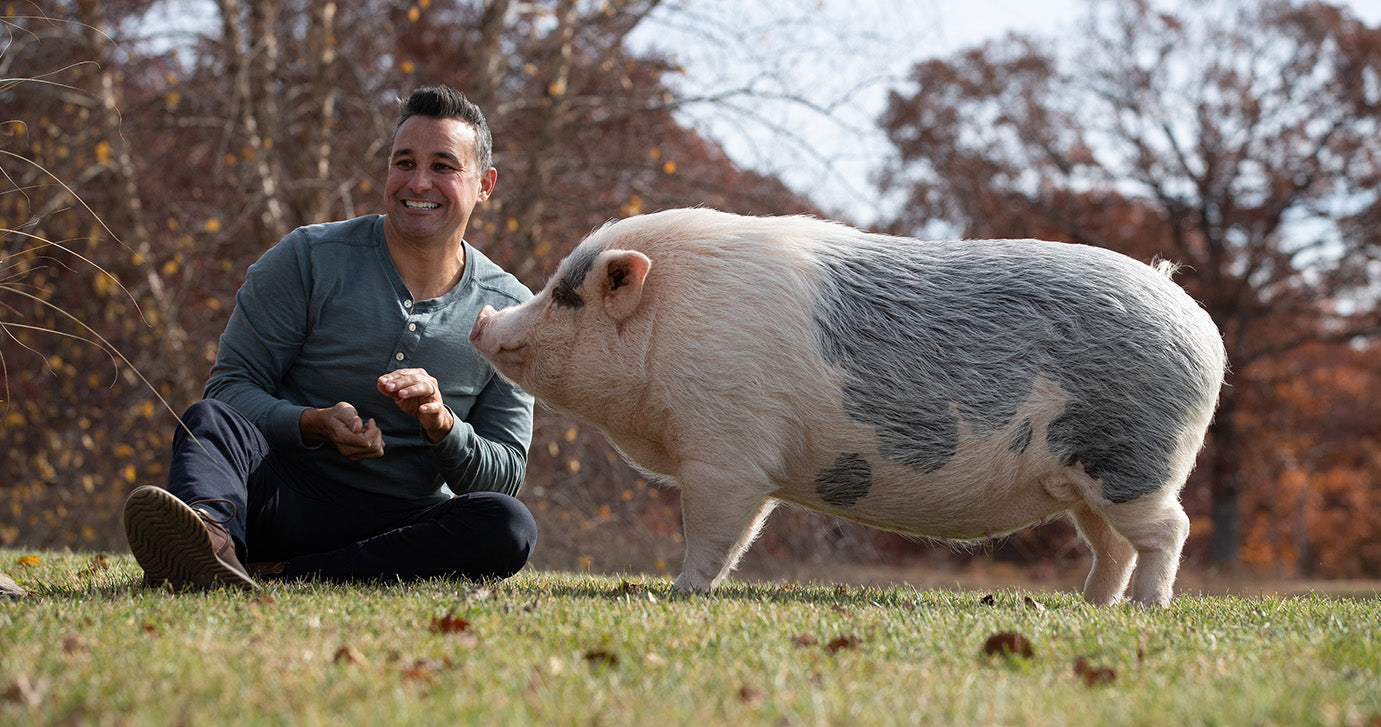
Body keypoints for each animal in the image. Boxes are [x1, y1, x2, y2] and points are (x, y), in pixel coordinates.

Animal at [470, 208, 1226, 606]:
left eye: (568, 296)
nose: (482, 320)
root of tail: (1201, 329)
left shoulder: (726, 453)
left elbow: (715, 531)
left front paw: (680, 591)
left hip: (1132, 460)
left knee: (1171, 529)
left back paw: (1145, 607)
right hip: (1081, 480)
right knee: (1110, 543)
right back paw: (1089, 605)